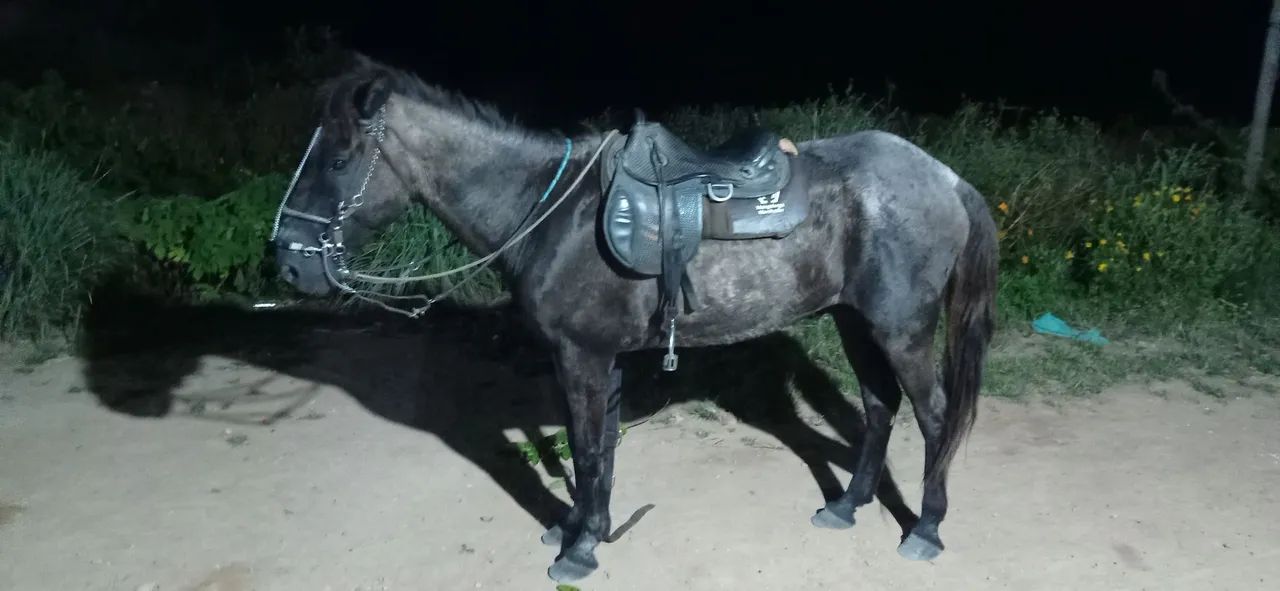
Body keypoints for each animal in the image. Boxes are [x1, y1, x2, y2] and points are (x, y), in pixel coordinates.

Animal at [269, 55, 998, 583]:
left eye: (338, 160)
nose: (290, 264)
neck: (547, 211)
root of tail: (947, 178)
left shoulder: (581, 356)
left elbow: (589, 449)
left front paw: (579, 549)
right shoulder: (600, 359)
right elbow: (599, 449)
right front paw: (581, 528)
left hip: (902, 329)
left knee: (934, 416)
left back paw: (926, 528)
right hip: (855, 320)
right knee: (878, 405)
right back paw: (847, 505)